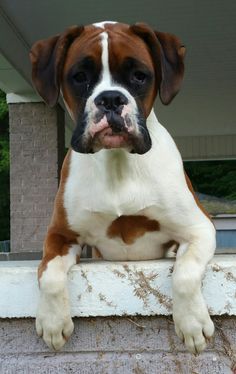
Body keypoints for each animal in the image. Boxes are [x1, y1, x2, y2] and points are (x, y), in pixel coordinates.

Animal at [29, 20, 216, 354]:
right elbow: (48, 274)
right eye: (80, 77)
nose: (111, 99)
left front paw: (192, 323)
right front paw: (52, 322)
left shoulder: (199, 228)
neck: (117, 163)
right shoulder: (61, 235)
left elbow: (185, 273)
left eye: (139, 75)